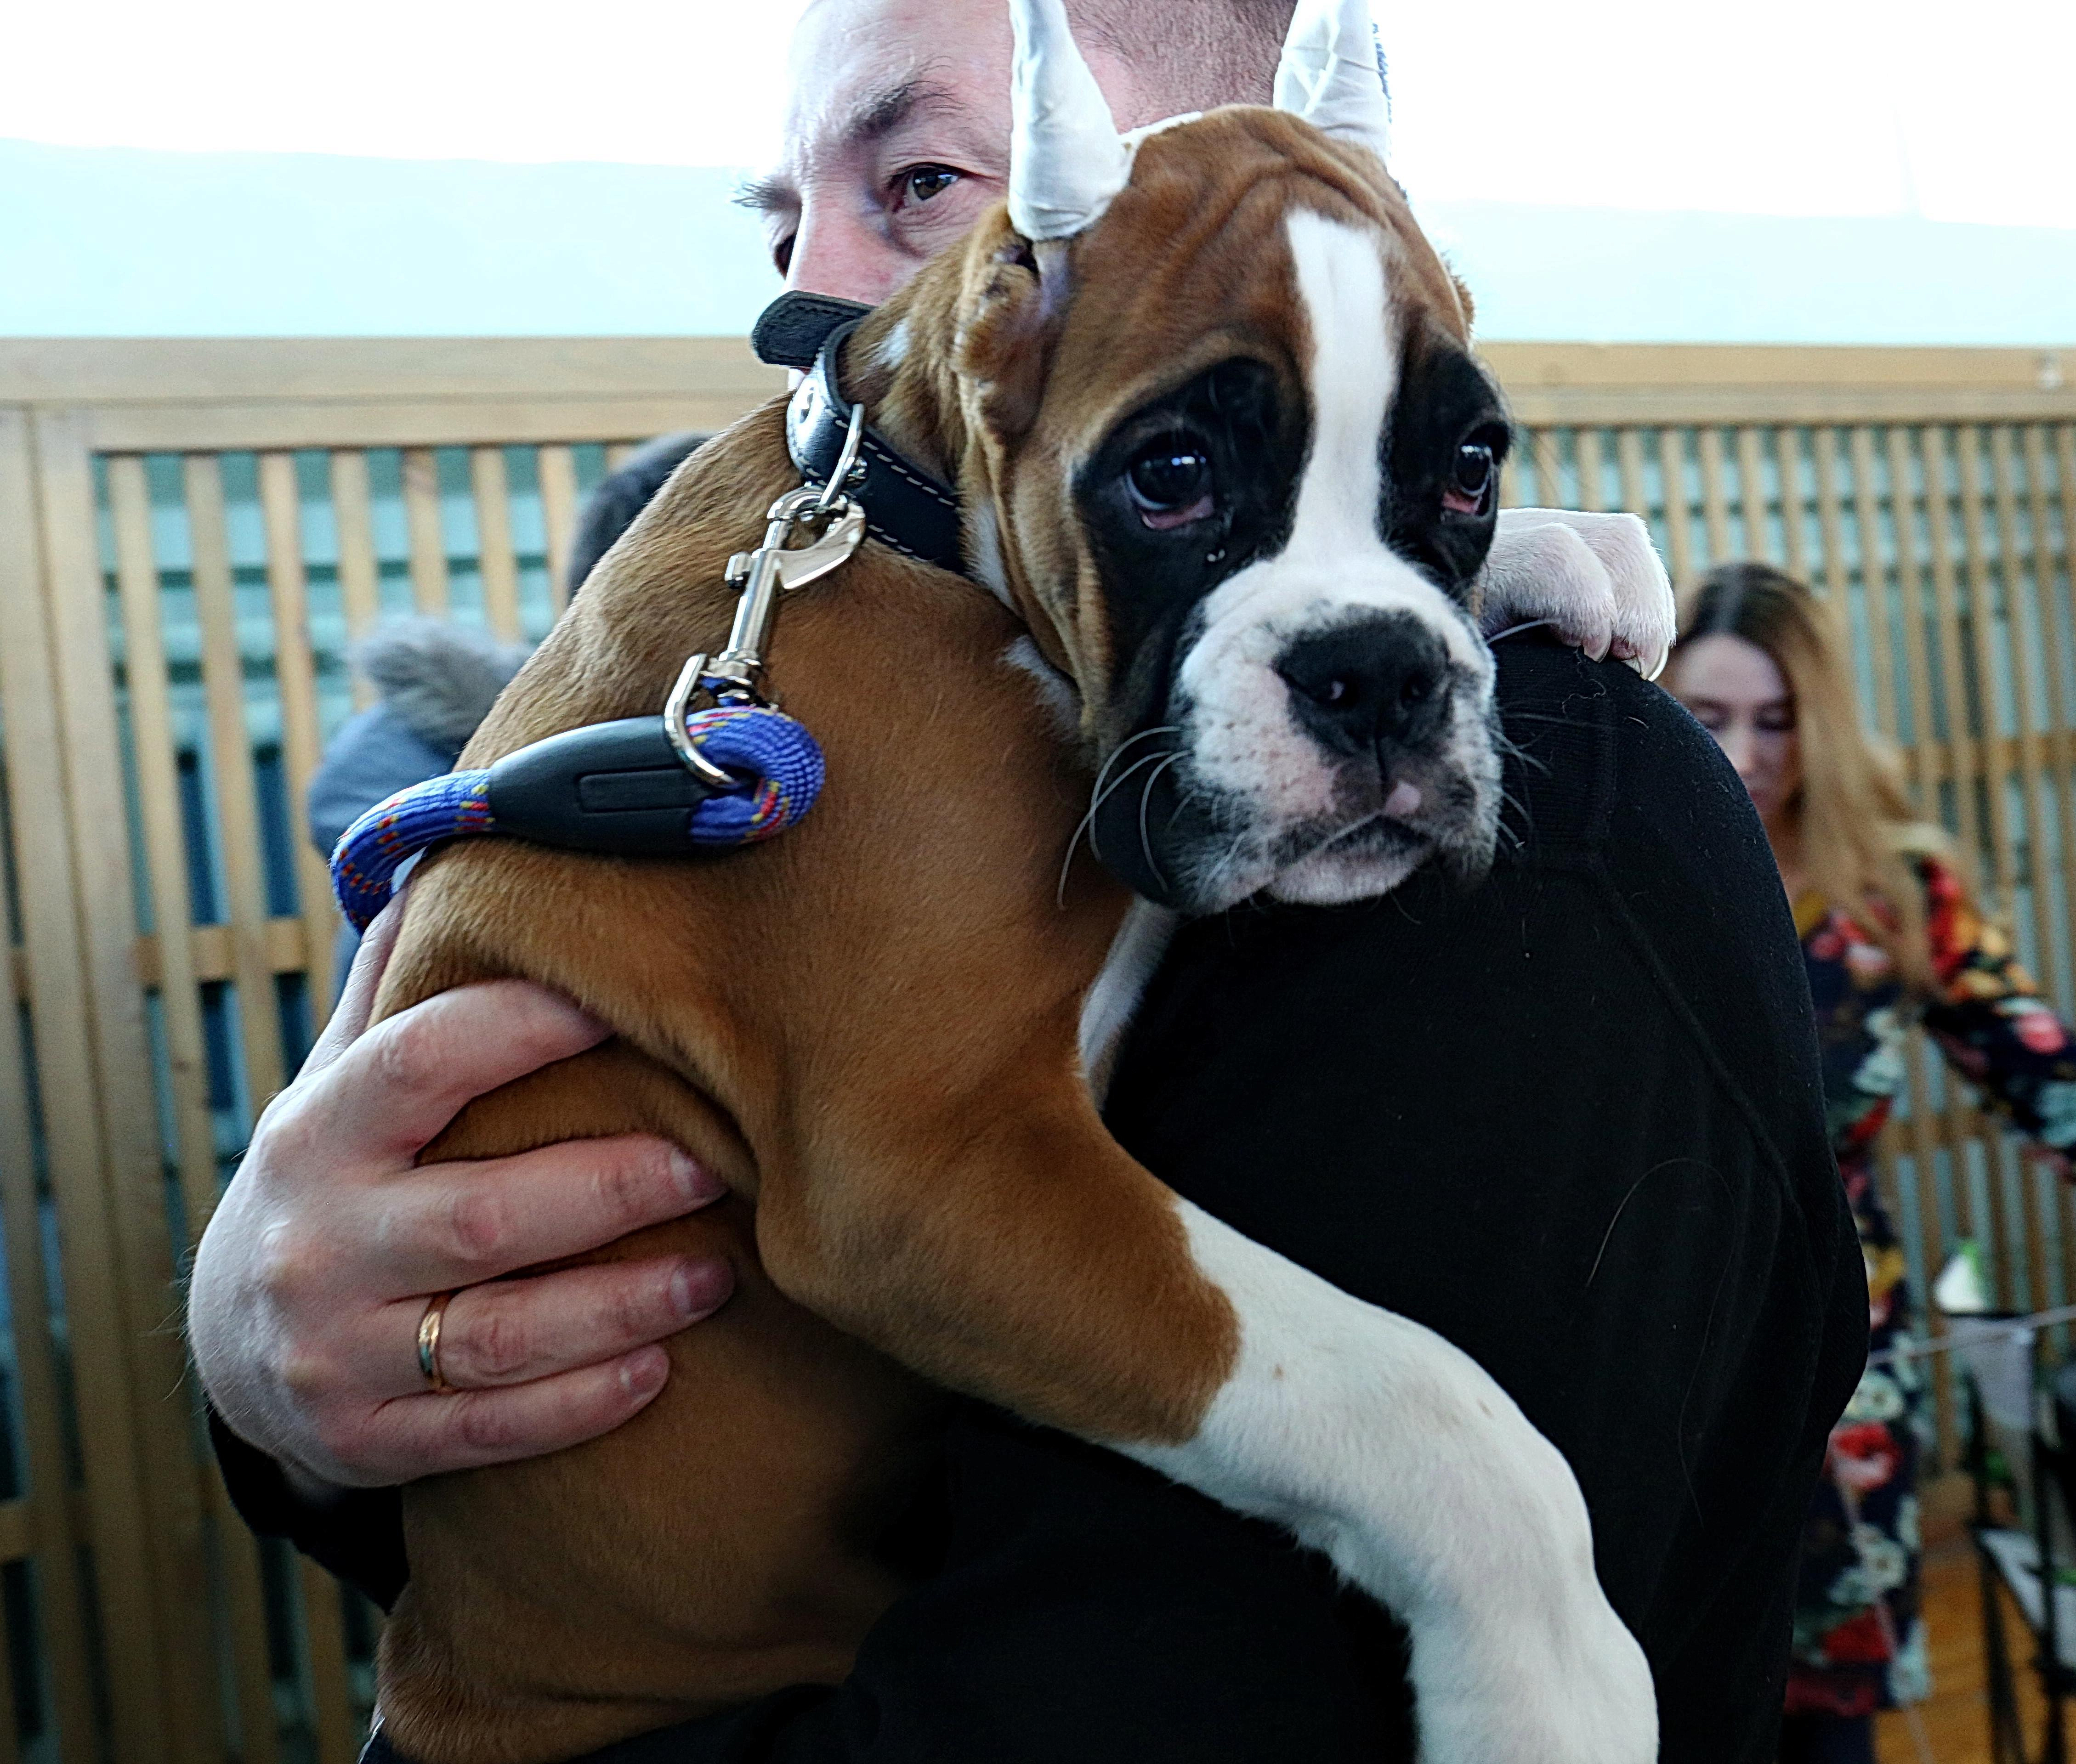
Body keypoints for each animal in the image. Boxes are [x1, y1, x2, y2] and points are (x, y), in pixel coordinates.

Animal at [378, 3, 1669, 1759]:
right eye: (1171, 476)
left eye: (1470, 464)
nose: (1382, 678)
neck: (906, 521)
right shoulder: (932, 1172)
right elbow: (1421, 1398)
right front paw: (1544, 1678)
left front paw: (1565, 552)